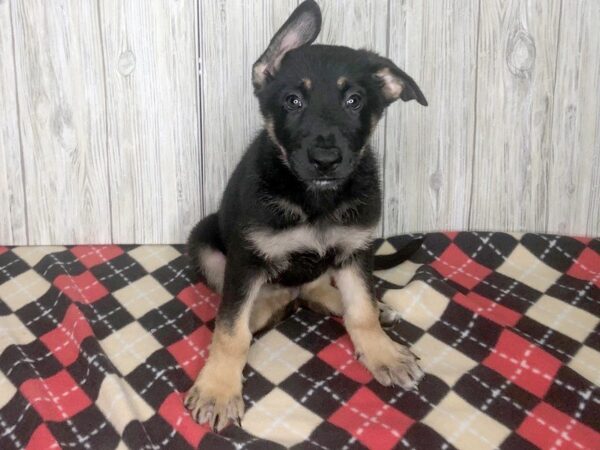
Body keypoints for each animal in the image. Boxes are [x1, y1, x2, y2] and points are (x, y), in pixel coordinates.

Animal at [185, 0, 428, 430]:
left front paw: (381, 351)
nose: (326, 160)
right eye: (293, 101)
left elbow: (361, 309)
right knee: (246, 304)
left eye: (354, 100)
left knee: (321, 291)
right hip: (204, 241)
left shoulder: (355, 249)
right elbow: (230, 331)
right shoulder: (247, 259)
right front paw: (218, 389)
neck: (316, 199)